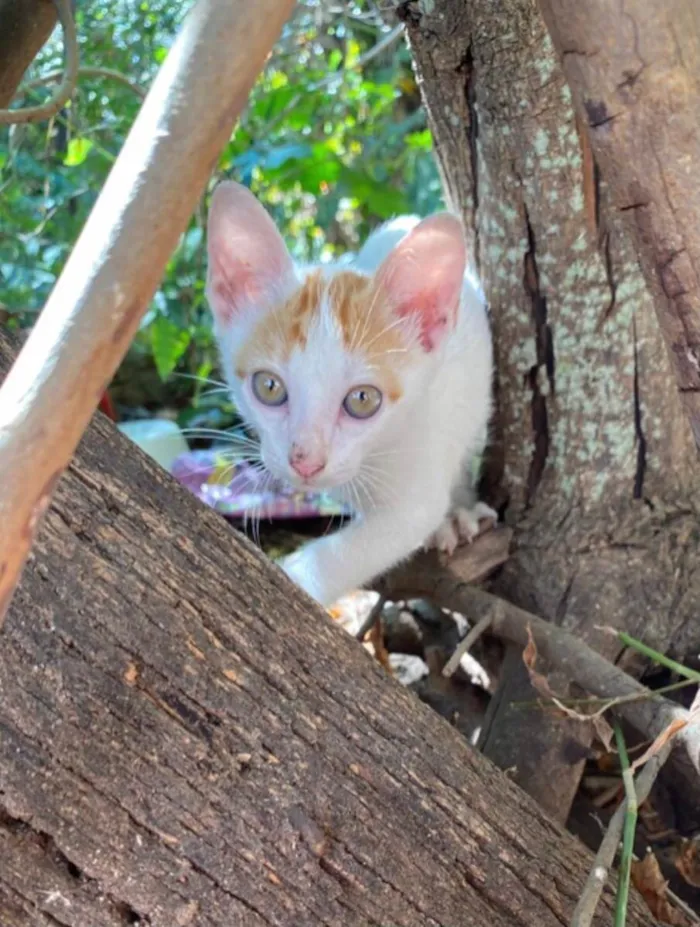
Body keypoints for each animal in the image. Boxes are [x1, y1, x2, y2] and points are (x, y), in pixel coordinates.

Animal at [205, 180, 494, 604]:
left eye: (363, 400)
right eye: (269, 387)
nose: (305, 462)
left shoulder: (419, 468)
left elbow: (365, 543)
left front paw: (295, 575)